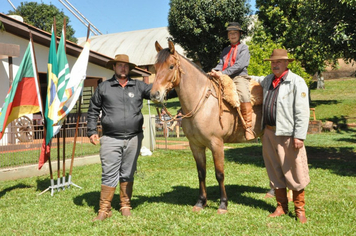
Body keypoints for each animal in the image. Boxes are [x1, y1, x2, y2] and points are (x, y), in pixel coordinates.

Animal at [150, 40, 264, 214]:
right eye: (155, 67)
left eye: (171, 66)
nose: (154, 94)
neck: (202, 103)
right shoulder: (196, 145)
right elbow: (201, 173)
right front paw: (200, 202)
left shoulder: (216, 144)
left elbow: (219, 174)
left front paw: (223, 204)